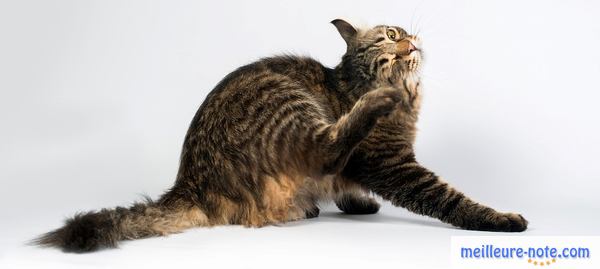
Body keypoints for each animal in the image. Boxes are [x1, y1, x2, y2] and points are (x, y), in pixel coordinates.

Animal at [35, 18, 528, 251]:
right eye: (389, 53)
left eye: (396, 34)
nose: (410, 46)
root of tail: (189, 181)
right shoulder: (393, 165)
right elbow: (451, 200)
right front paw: (499, 219)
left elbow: (347, 187)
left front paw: (355, 202)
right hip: (292, 104)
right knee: (328, 149)